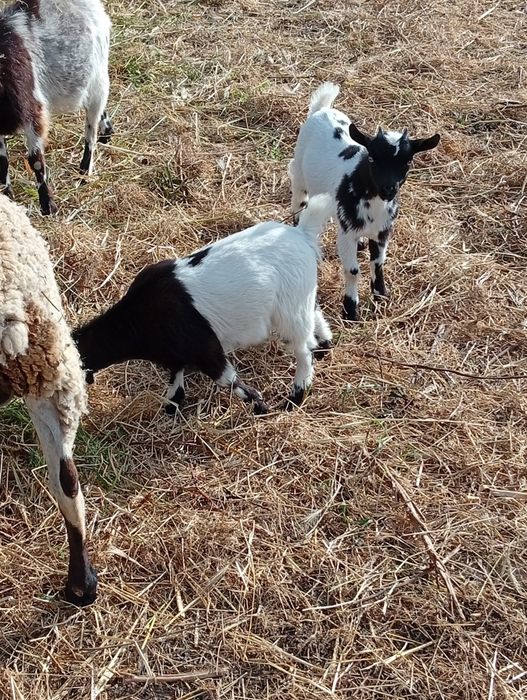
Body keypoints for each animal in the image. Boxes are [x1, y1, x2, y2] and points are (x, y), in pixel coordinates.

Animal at [0, 0, 112, 215]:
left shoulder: (34, 112)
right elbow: (2, 160)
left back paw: (84, 173)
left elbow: (35, 160)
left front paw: (49, 206)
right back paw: (107, 130)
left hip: (98, 81)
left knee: (90, 132)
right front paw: (6, 195)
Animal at [73, 196, 334, 414]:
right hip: (300, 298)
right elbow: (176, 378)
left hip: (290, 313)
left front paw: (259, 405)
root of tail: (302, 235)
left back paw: (296, 397)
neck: (138, 317)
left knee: (303, 350)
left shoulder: (205, 349)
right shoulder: (176, 353)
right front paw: (172, 407)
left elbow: (229, 381)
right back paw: (325, 346)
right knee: (315, 315)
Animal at [289, 82, 440, 321]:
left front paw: (381, 296)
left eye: (408, 162)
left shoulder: (383, 231)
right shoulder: (348, 232)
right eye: (372, 158)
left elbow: (377, 263)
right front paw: (351, 310)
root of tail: (322, 109)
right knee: (298, 201)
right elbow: (352, 271)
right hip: (300, 174)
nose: (389, 189)